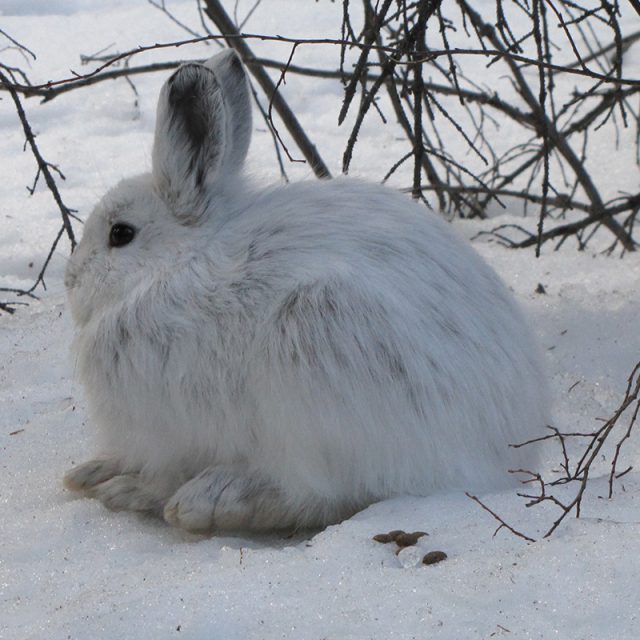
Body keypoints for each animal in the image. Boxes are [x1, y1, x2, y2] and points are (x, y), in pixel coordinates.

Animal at [63, 48, 549, 534]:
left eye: (120, 234)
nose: (70, 279)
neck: (177, 262)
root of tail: (501, 459)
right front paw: (92, 470)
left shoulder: (174, 428)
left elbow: (164, 472)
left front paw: (129, 489)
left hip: (317, 359)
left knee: (323, 495)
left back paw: (211, 500)